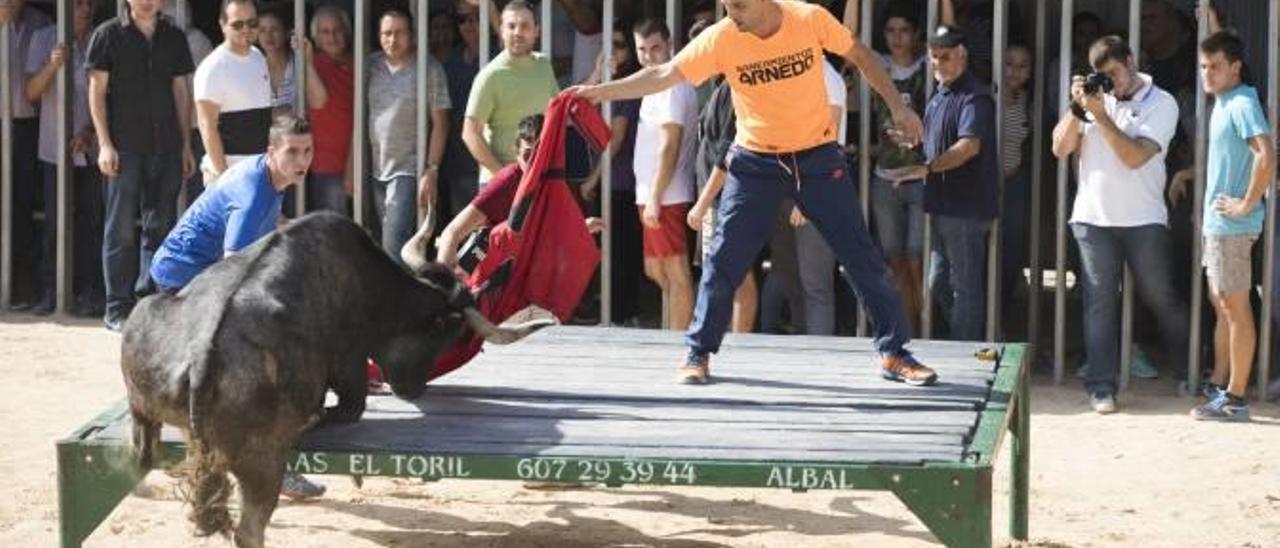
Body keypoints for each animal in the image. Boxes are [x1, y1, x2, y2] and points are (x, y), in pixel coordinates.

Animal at [120, 212, 555, 548]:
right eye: (448, 335)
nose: (413, 389)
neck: (371, 283)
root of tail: (201, 358)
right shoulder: (350, 361)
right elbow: (349, 408)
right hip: (264, 461)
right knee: (250, 530)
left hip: (145, 387)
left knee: (141, 453)